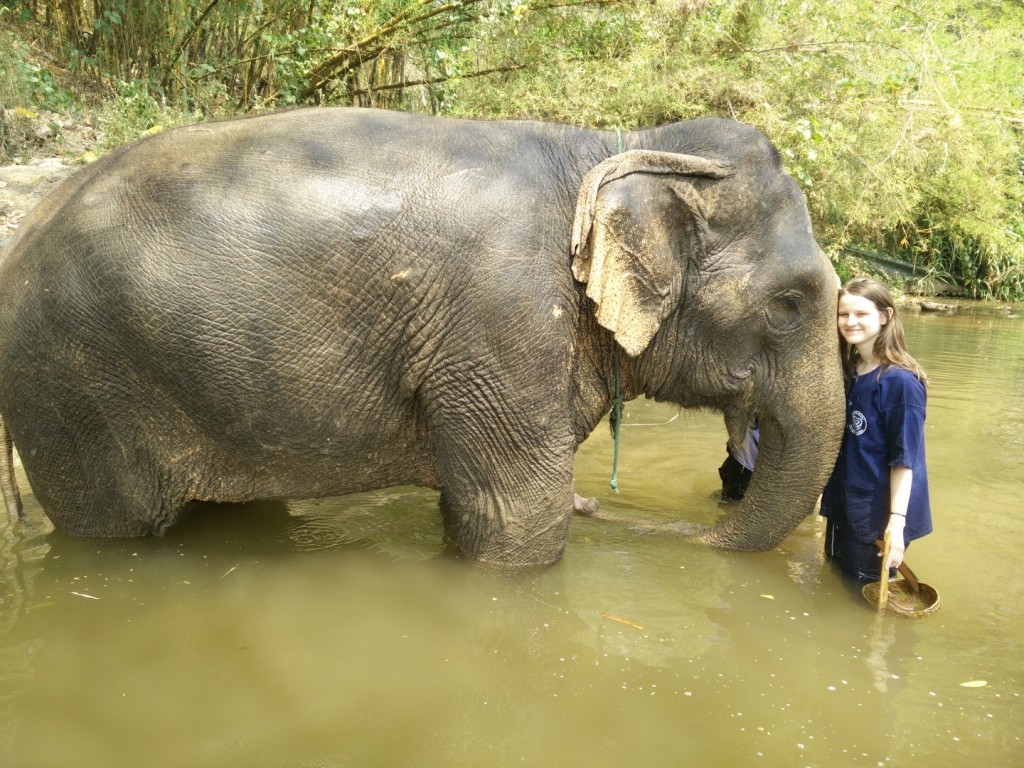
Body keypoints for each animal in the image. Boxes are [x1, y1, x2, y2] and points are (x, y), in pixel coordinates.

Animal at [0, 105, 843, 569]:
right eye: (792, 304)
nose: (690, 535)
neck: (617, 146)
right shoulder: (503, 320)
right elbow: (518, 521)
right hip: (71, 389)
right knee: (116, 526)